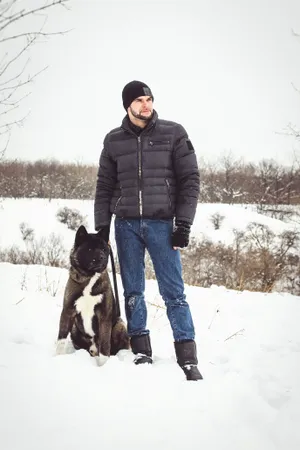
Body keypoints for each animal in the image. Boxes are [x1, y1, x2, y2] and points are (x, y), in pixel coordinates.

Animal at [55, 224, 129, 362]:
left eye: (104, 249)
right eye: (89, 249)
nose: (102, 258)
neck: (89, 277)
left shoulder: (104, 317)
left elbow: (105, 346)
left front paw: (103, 364)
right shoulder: (68, 311)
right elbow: (61, 339)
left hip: (119, 326)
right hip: (75, 329)